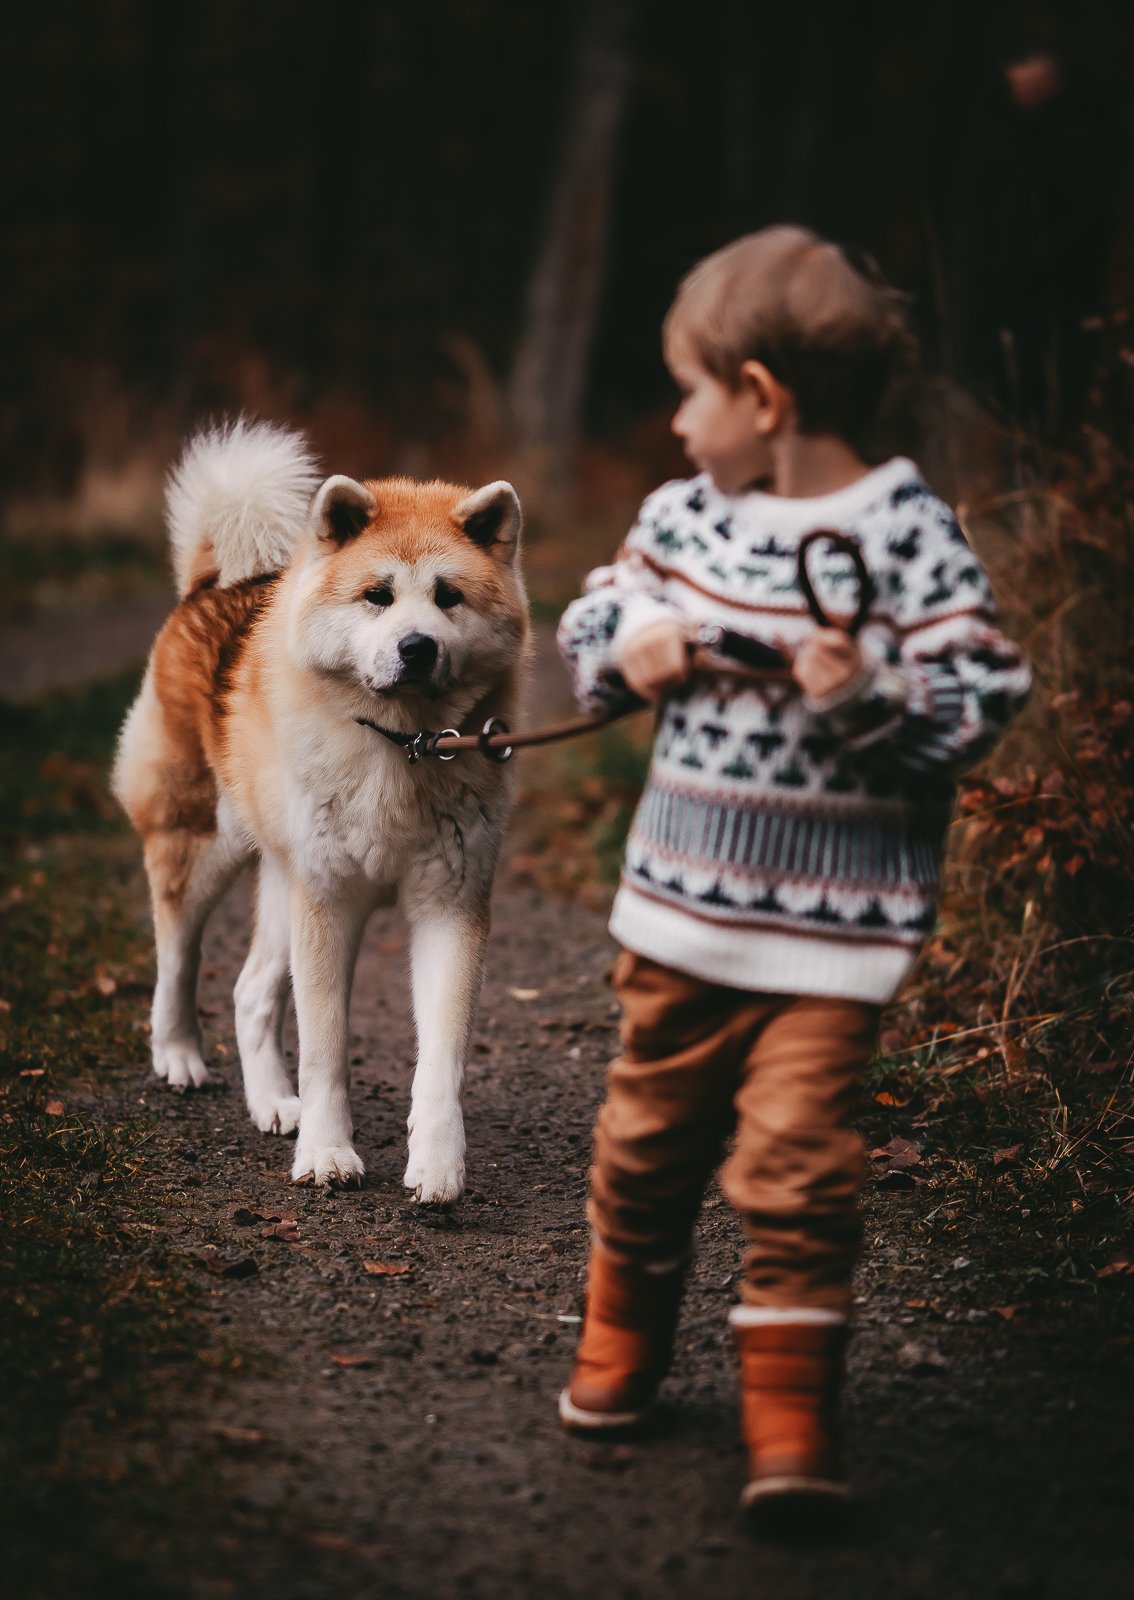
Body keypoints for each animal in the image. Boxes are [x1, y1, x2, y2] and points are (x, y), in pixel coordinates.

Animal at [112, 422, 527, 1203]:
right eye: (377, 595)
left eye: (449, 597)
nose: (416, 646)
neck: (403, 746)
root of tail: (213, 585)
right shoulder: (330, 904)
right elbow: (326, 1050)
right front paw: (328, 1154)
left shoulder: (451, 906)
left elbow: (442, 1060)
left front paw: (437, 1164)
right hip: (204, 849)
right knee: (177, 958)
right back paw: (178, 1055)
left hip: (284, 883)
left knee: (248, 992)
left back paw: (273, 1103)